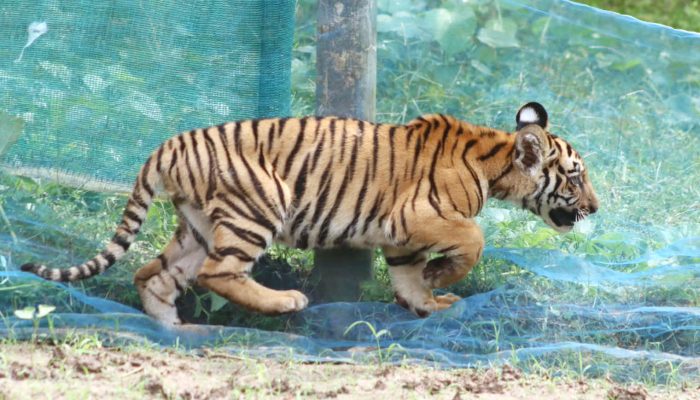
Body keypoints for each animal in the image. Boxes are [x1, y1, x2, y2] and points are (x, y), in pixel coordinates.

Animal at [22, 102, 599, 324]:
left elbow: (408, 277)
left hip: (197, 226)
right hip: (257, 205)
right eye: (575, 177)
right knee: (217, 273)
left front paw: (429, 301)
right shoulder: (415, 217)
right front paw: (442, 278)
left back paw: (174, 330)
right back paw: (285, 303)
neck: (495, 162)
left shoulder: (402, 238)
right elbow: (474, 238)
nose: (595, 207)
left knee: (153, 273)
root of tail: (167, 146)